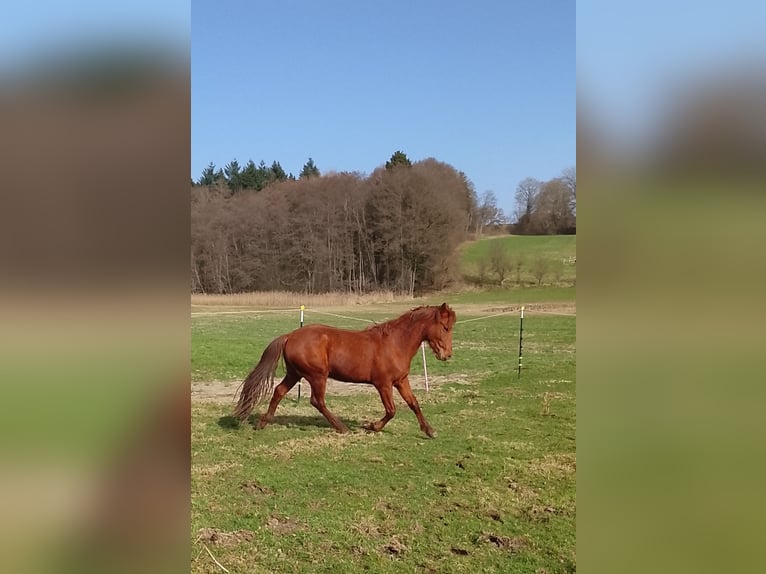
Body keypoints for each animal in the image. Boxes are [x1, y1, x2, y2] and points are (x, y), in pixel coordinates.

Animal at [233, 303, 456, 438]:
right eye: (445, 327)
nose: (446, 355)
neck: (395, 343)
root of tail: (290, 336)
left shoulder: (401, 381)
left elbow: (414, 404)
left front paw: (429, 430)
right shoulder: (383, 384)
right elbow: (391, 410)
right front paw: (371, 426)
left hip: (295, 374)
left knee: (279, 391)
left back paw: (263, 422)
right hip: (317, 376)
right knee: (317, 401)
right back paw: (341, 427)